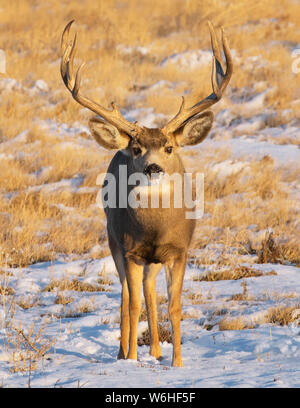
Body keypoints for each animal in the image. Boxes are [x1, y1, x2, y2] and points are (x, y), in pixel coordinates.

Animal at [60, 20, 232, 368]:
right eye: (138, 148)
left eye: (169, 147)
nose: (153, 167)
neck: (155, 228)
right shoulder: (130, 249)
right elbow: (133, 303)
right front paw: (130, 359)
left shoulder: (180, 250)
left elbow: (174, 306)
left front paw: (176, 362)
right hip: (113, 239)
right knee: (128, 293)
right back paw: (124, 350)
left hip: (153, 259)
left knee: (150, 290)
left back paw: (155, 350)